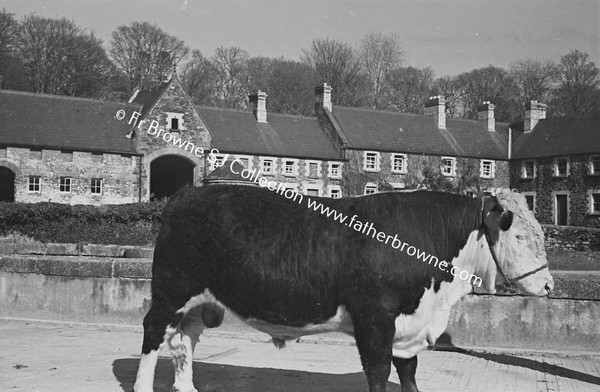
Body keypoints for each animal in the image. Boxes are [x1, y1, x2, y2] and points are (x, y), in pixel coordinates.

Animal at [132, 188, 552, 392]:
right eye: (519, 235)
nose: (549, 284)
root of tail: (185, 195)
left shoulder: (408, 326)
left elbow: (409, 374)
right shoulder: (375, 321)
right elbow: (379, 374)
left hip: (197, 302)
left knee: (184, 340)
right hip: (171, 289)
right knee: (153, 334)